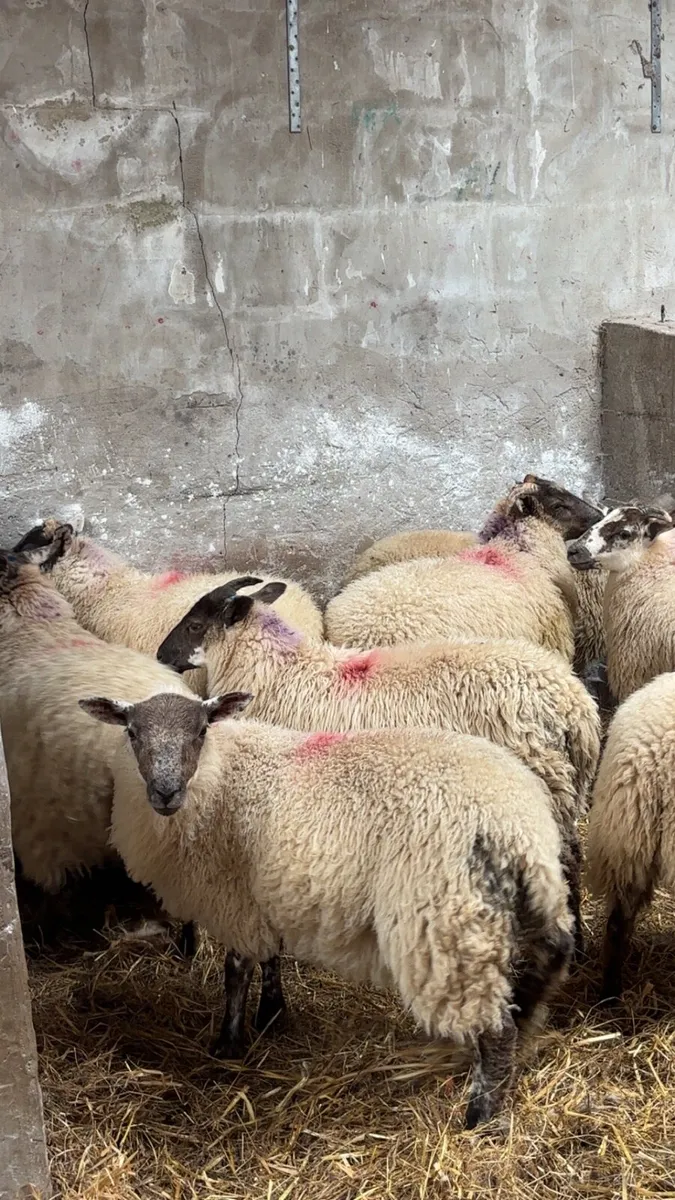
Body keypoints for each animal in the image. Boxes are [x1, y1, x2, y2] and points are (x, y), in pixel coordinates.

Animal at [82, 689, 574, 1128]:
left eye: (201, 730)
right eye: (131, 732)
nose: (165, 792)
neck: (219, 776)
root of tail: (519, 827)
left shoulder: (235, 899)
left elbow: (236, 970)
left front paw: (228, 1043)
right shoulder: (264, 893)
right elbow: (271, 957)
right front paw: (272, 1015)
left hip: (443, 919)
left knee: (496, 1029)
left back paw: (481, 1117)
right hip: (520, 907)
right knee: (542, 972)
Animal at [156, 580, 602, 952]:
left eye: (195, 625)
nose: (160, 656)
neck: (279, 671)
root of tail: (576, 706)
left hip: (542, 787)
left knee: (563, 862)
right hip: (564, 793)